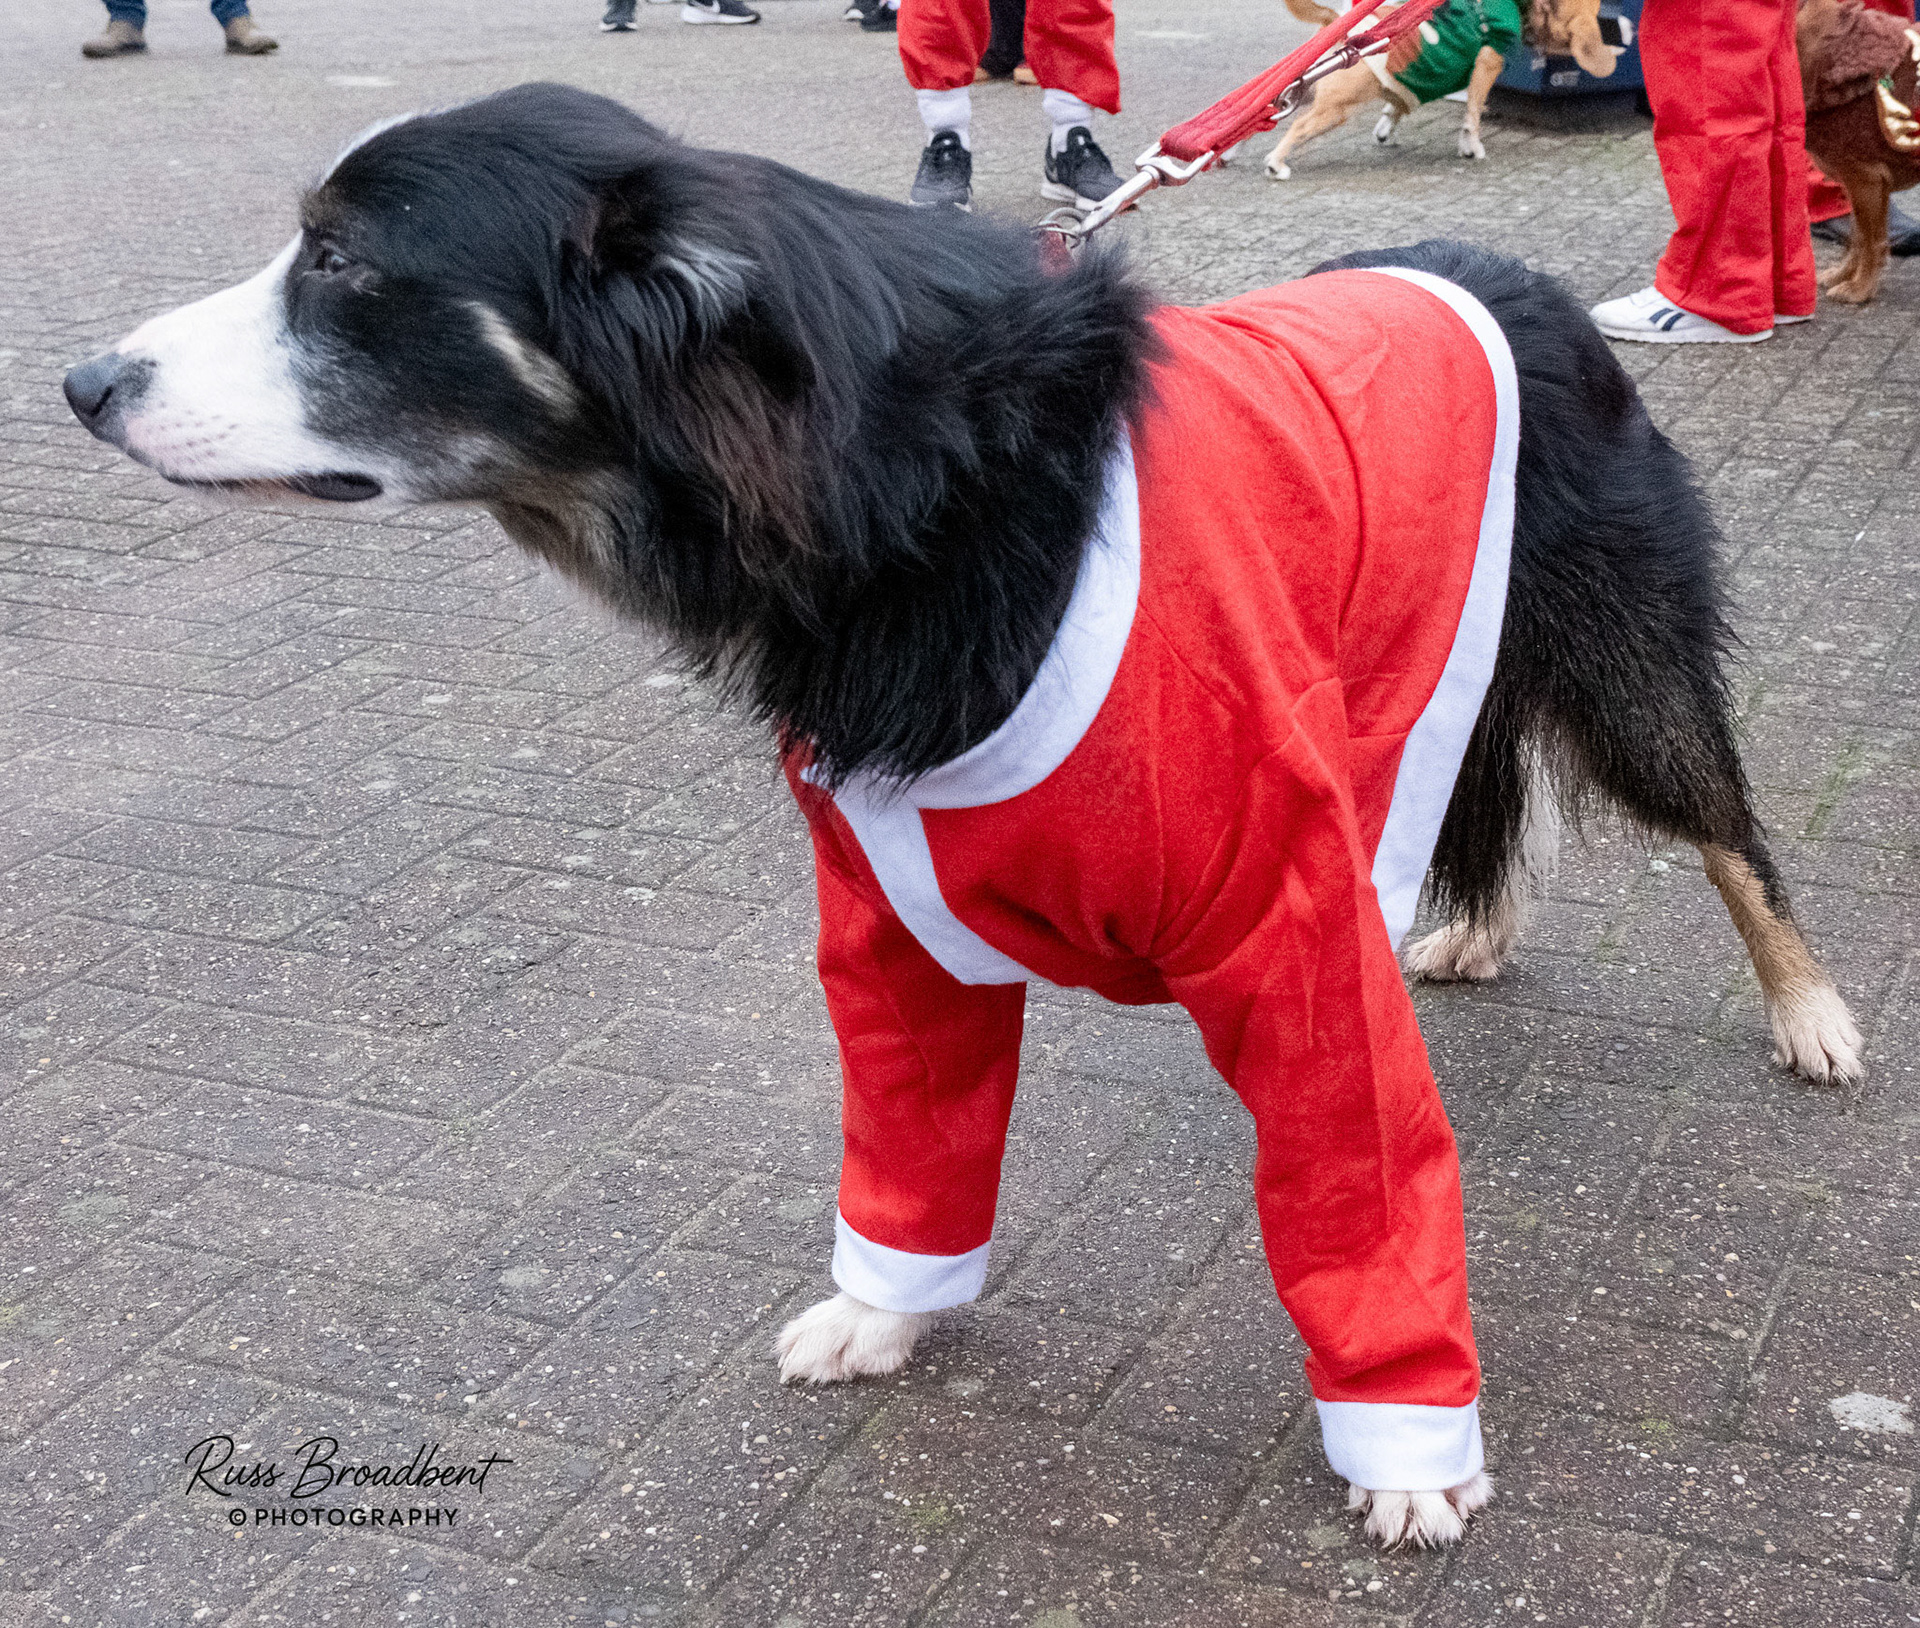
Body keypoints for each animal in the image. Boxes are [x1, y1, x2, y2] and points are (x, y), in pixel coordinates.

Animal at [62, 83, 1863, 1549]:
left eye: (343, 263)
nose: (79, 381)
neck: (912, 499)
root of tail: (1517, 277)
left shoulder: (1285, 917)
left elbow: (1362, 1180)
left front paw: (1410, 1451)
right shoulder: (895, 931)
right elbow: (909, 1151)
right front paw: (882, 1313)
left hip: (1622, 656)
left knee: (1726, 828)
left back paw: (1813, 1012)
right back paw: (1477, 922)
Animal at [1265, 0, 1617, 179]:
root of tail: (1338, 21)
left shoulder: (1411, 83)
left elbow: (1396, 106)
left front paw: (1386, 127)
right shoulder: (1487, 65)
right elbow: (1472, 116)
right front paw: (1472, 148)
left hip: (1308, 91)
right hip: (1335, 109)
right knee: (1298, 126)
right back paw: (1276, 164)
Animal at [1798, 0, 1920, 303]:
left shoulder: (1865, 180)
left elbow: (1868, 241)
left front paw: (1859, 289)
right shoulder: (1867, 187)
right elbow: (1857, 237)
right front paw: (1845, 276)